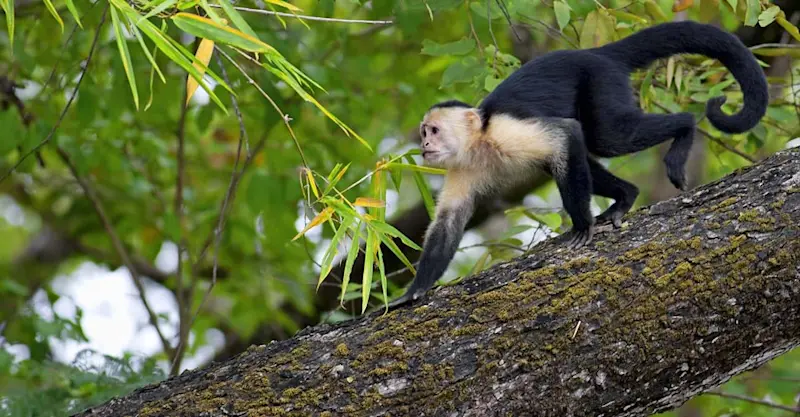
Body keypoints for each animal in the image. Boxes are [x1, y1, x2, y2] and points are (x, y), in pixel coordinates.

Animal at [388, 20, 768, 307]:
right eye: (424, 132)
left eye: (434, 131)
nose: (423, 145)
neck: (479, 142)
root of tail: (595, 53)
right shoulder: (461, 165)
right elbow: (448, 223)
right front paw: (414, 292)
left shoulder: (504, 132)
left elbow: (565, 134)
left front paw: (582, 225)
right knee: (581, 152)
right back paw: (626, 195)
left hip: (599, 81)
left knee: (608, 137)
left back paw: (684, 129)